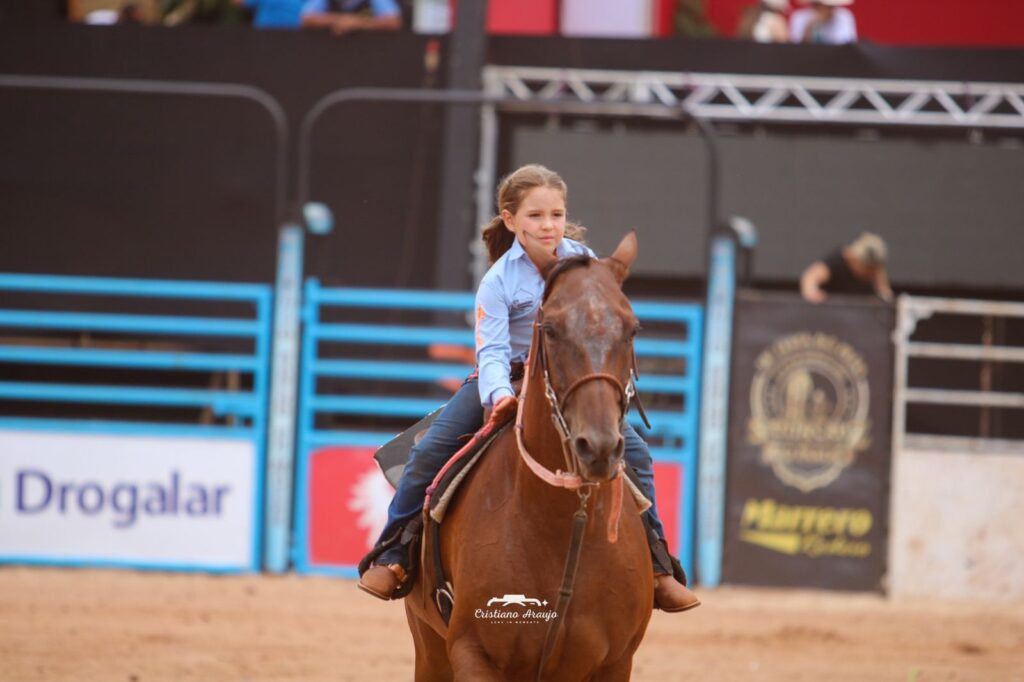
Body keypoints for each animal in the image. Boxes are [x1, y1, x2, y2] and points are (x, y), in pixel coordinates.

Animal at [403, 231, 651, 675]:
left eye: (632, 329)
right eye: (549, 329)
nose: (598, 446)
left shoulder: (616, 661)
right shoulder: (473, 653)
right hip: (429, 645)